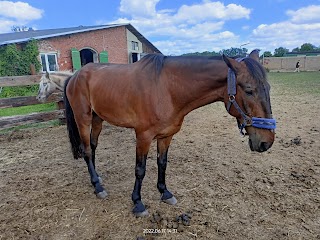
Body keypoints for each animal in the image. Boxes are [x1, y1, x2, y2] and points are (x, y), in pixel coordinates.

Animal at [64, 50, 276, 218]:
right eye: (249, 90)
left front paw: (165, 193)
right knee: (86, 150)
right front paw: (138, 203)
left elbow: (162, 164)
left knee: (92, 147)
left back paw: (97, 178)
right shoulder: (143, 136)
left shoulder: (166, 136)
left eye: (268, 88)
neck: (167, 89)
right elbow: (140, 170)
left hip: (98, 118)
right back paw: (97, 186)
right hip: (83, 119)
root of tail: (75, 75)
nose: (266, 142)